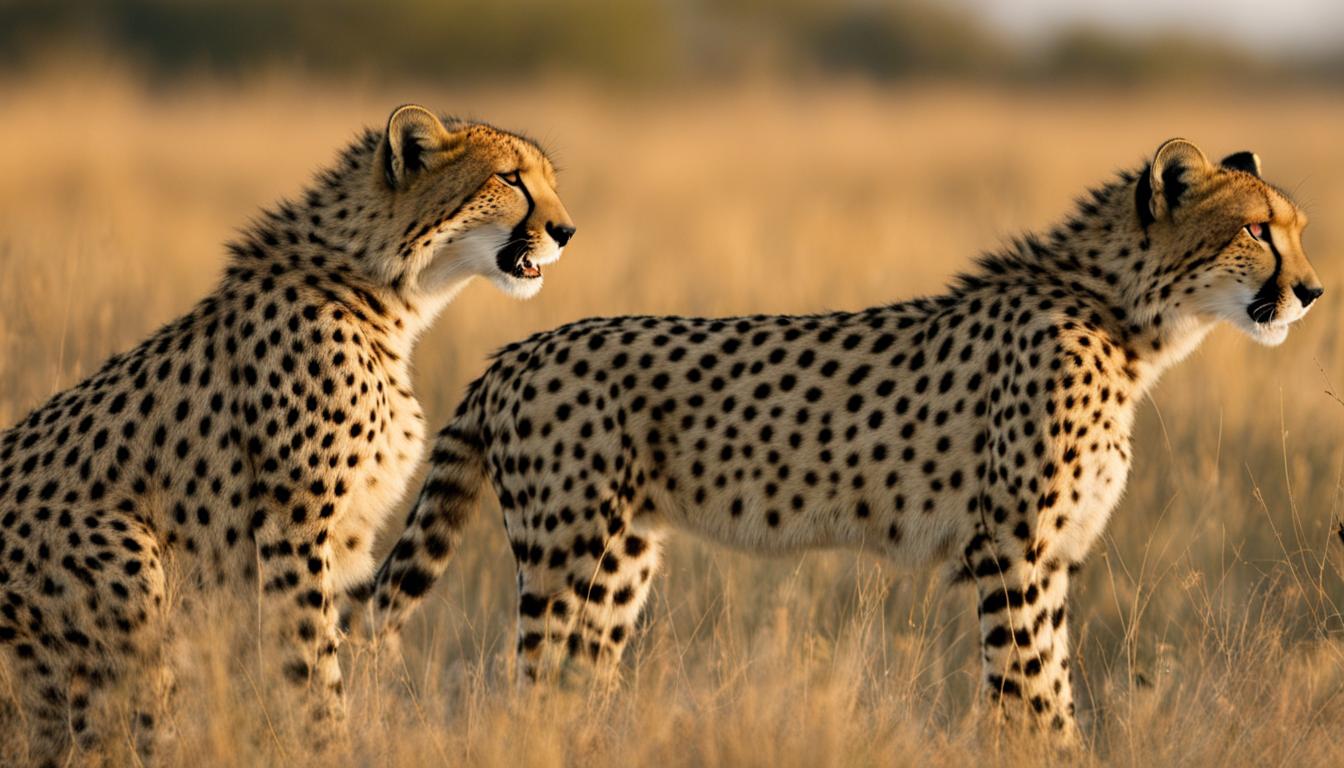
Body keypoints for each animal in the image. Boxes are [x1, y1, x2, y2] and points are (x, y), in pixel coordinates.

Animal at [0, 103, 574, 765]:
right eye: (510, 179)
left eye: (547, 180)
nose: (567, 231)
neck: (381, 288)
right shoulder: (291, 529)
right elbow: (312, 662)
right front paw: (330, 745)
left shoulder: (346, 539)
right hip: (126, 561)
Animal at [355, 138, 1320, 745]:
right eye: (1256, 229)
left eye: (1297, 228)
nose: (1312, 290)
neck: (1127, 321)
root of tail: (517, 349)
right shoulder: (1013, 550)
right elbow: (1032, 693)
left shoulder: (1053, 556)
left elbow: (1048, 686)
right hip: (566, 554)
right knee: (528, 685)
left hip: (620, 558)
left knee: (570, 683)